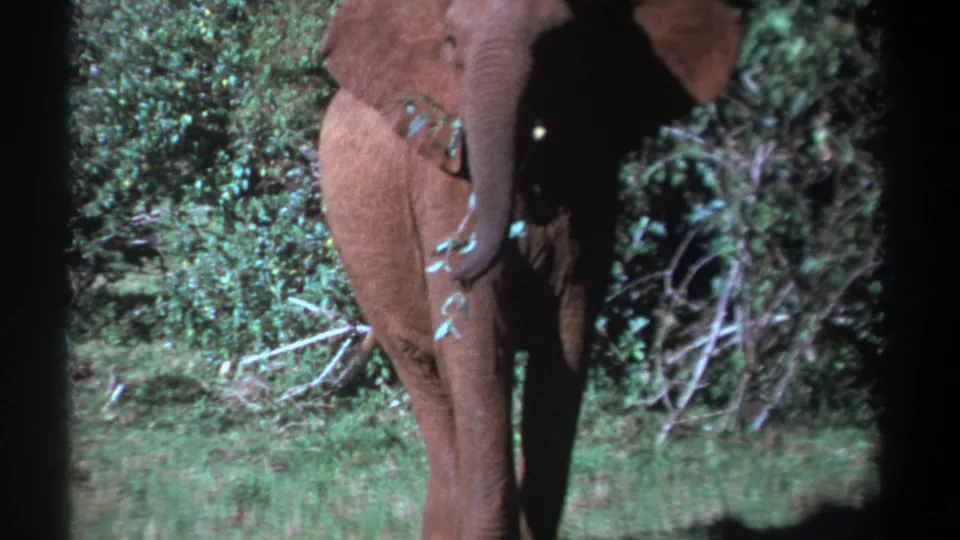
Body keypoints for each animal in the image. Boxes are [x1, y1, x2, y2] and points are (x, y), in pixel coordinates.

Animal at [316, 0, 741, 538]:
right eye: (450, 44)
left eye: (562, 42)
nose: (453, 257)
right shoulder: (441, 182)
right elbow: (477, 347)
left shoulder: (590, 184)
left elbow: (567, 339)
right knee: (427, 384)